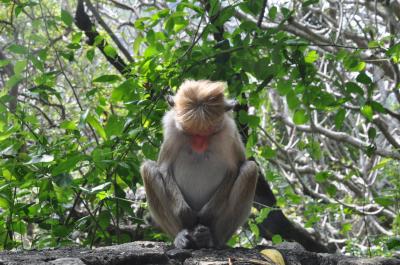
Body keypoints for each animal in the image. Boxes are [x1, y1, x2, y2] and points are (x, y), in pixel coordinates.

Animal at [141, 79, 260, 249]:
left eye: (208, 132)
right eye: (191, 133)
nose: (199, 145)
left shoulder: (229, 132)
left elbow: (235, 168)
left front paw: (206, 215)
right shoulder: (172, 129)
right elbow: (164, 168)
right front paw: (185, 214)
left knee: (249, 170)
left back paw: (210, 239)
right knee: (148, 169)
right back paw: (181, 236)